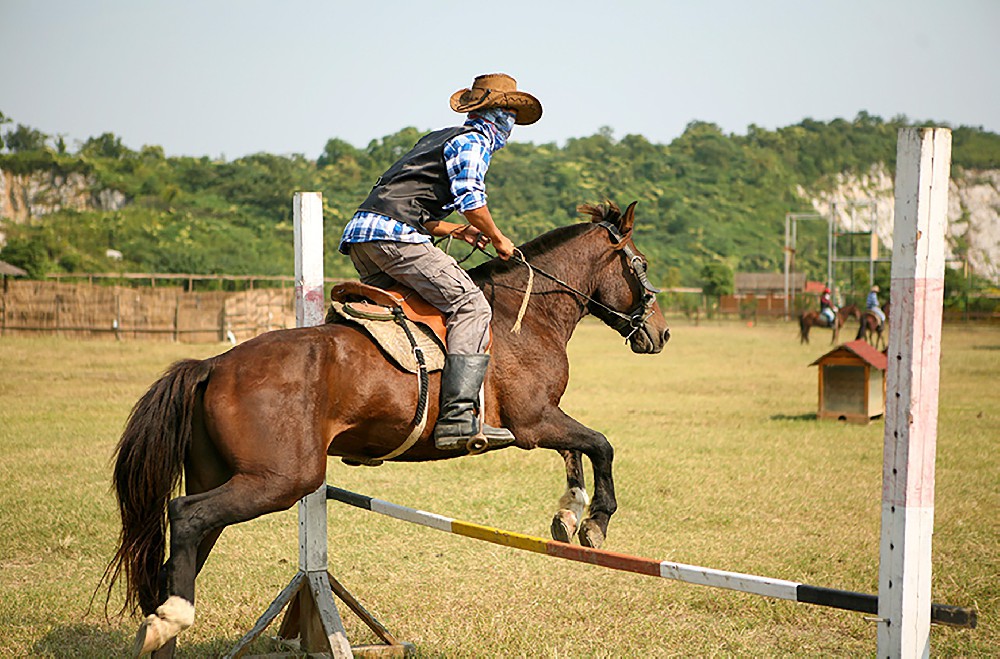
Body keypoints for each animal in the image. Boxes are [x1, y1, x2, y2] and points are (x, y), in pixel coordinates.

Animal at [101, 201, 672, 656]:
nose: (662, 333)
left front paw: (569, 513)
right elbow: (600, 445)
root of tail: (213, 364)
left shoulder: (544, 419)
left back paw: (161, 628)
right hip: (280, 480)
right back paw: (171, 618)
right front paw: (595, 521)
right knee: (186, 516)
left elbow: (577, 453)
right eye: (640, 264)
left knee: (185, 546)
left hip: (224, 474)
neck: (524, 311)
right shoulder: (535, 421)